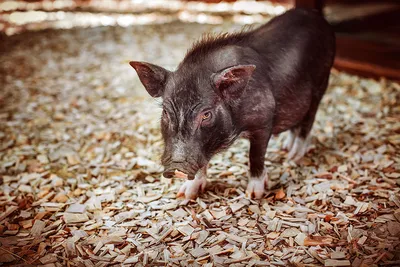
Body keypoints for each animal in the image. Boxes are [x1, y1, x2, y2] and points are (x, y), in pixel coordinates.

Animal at [130, 7, 336, 199]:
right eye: (165, 112)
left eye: (206, 114)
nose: (176, 166)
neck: (237, 130)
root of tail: (317, 16)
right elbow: (201, 163)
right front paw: (185, 194)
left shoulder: (263, 120)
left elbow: (255, 156)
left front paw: (254, 194)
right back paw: (286, 148)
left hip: (322, 82)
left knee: (308, 121)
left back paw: (294, 156)